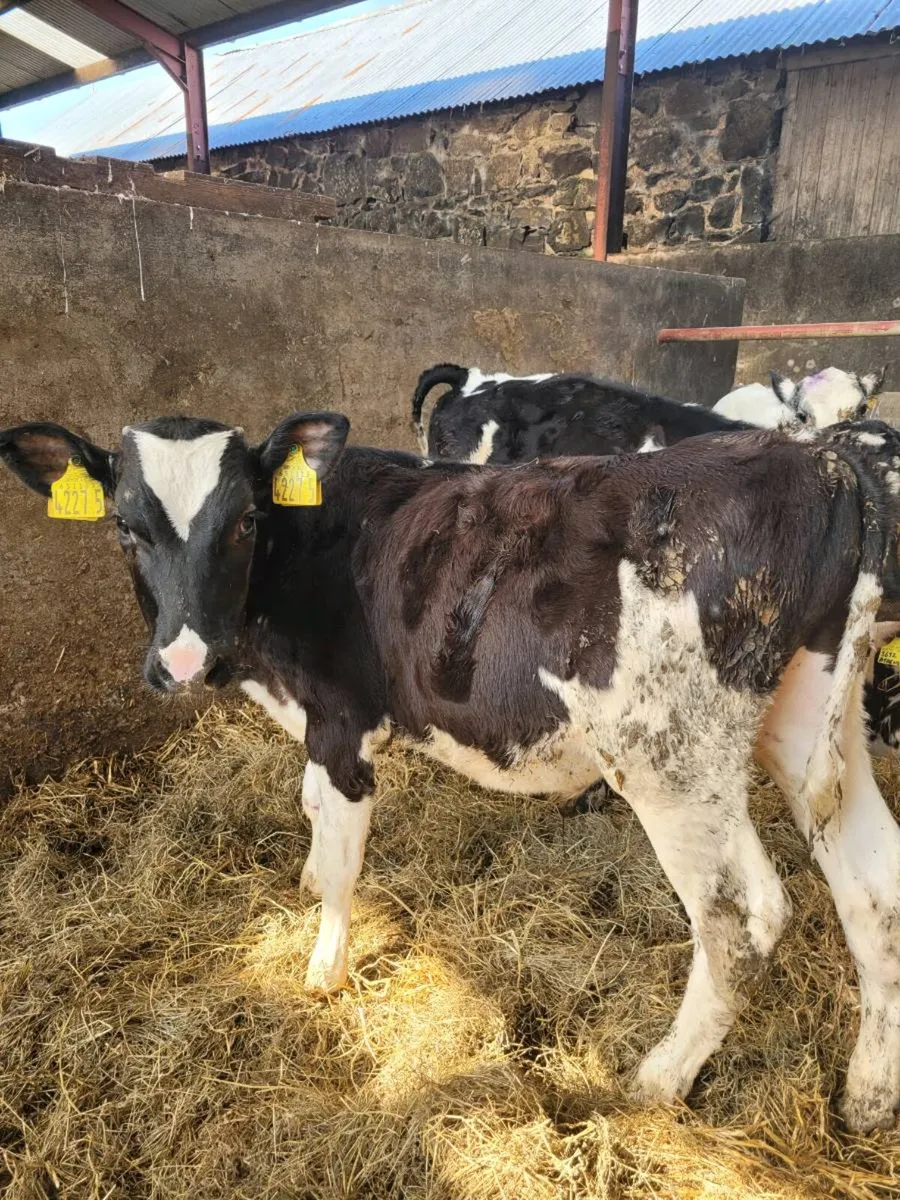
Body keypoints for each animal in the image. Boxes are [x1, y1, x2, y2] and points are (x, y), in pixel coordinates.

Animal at [3, 414, 900, 1133]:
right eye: (124, 526)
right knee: (875, 890)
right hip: (809, 722)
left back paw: (657, 1078)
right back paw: (867, 1096)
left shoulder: (342, 721)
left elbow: (343, 857)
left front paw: (323, 972)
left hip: (670, 758)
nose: (187, 661)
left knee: (740, 921)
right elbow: (310, 810)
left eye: (245, 521)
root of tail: (817, 455)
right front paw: (303, 883)